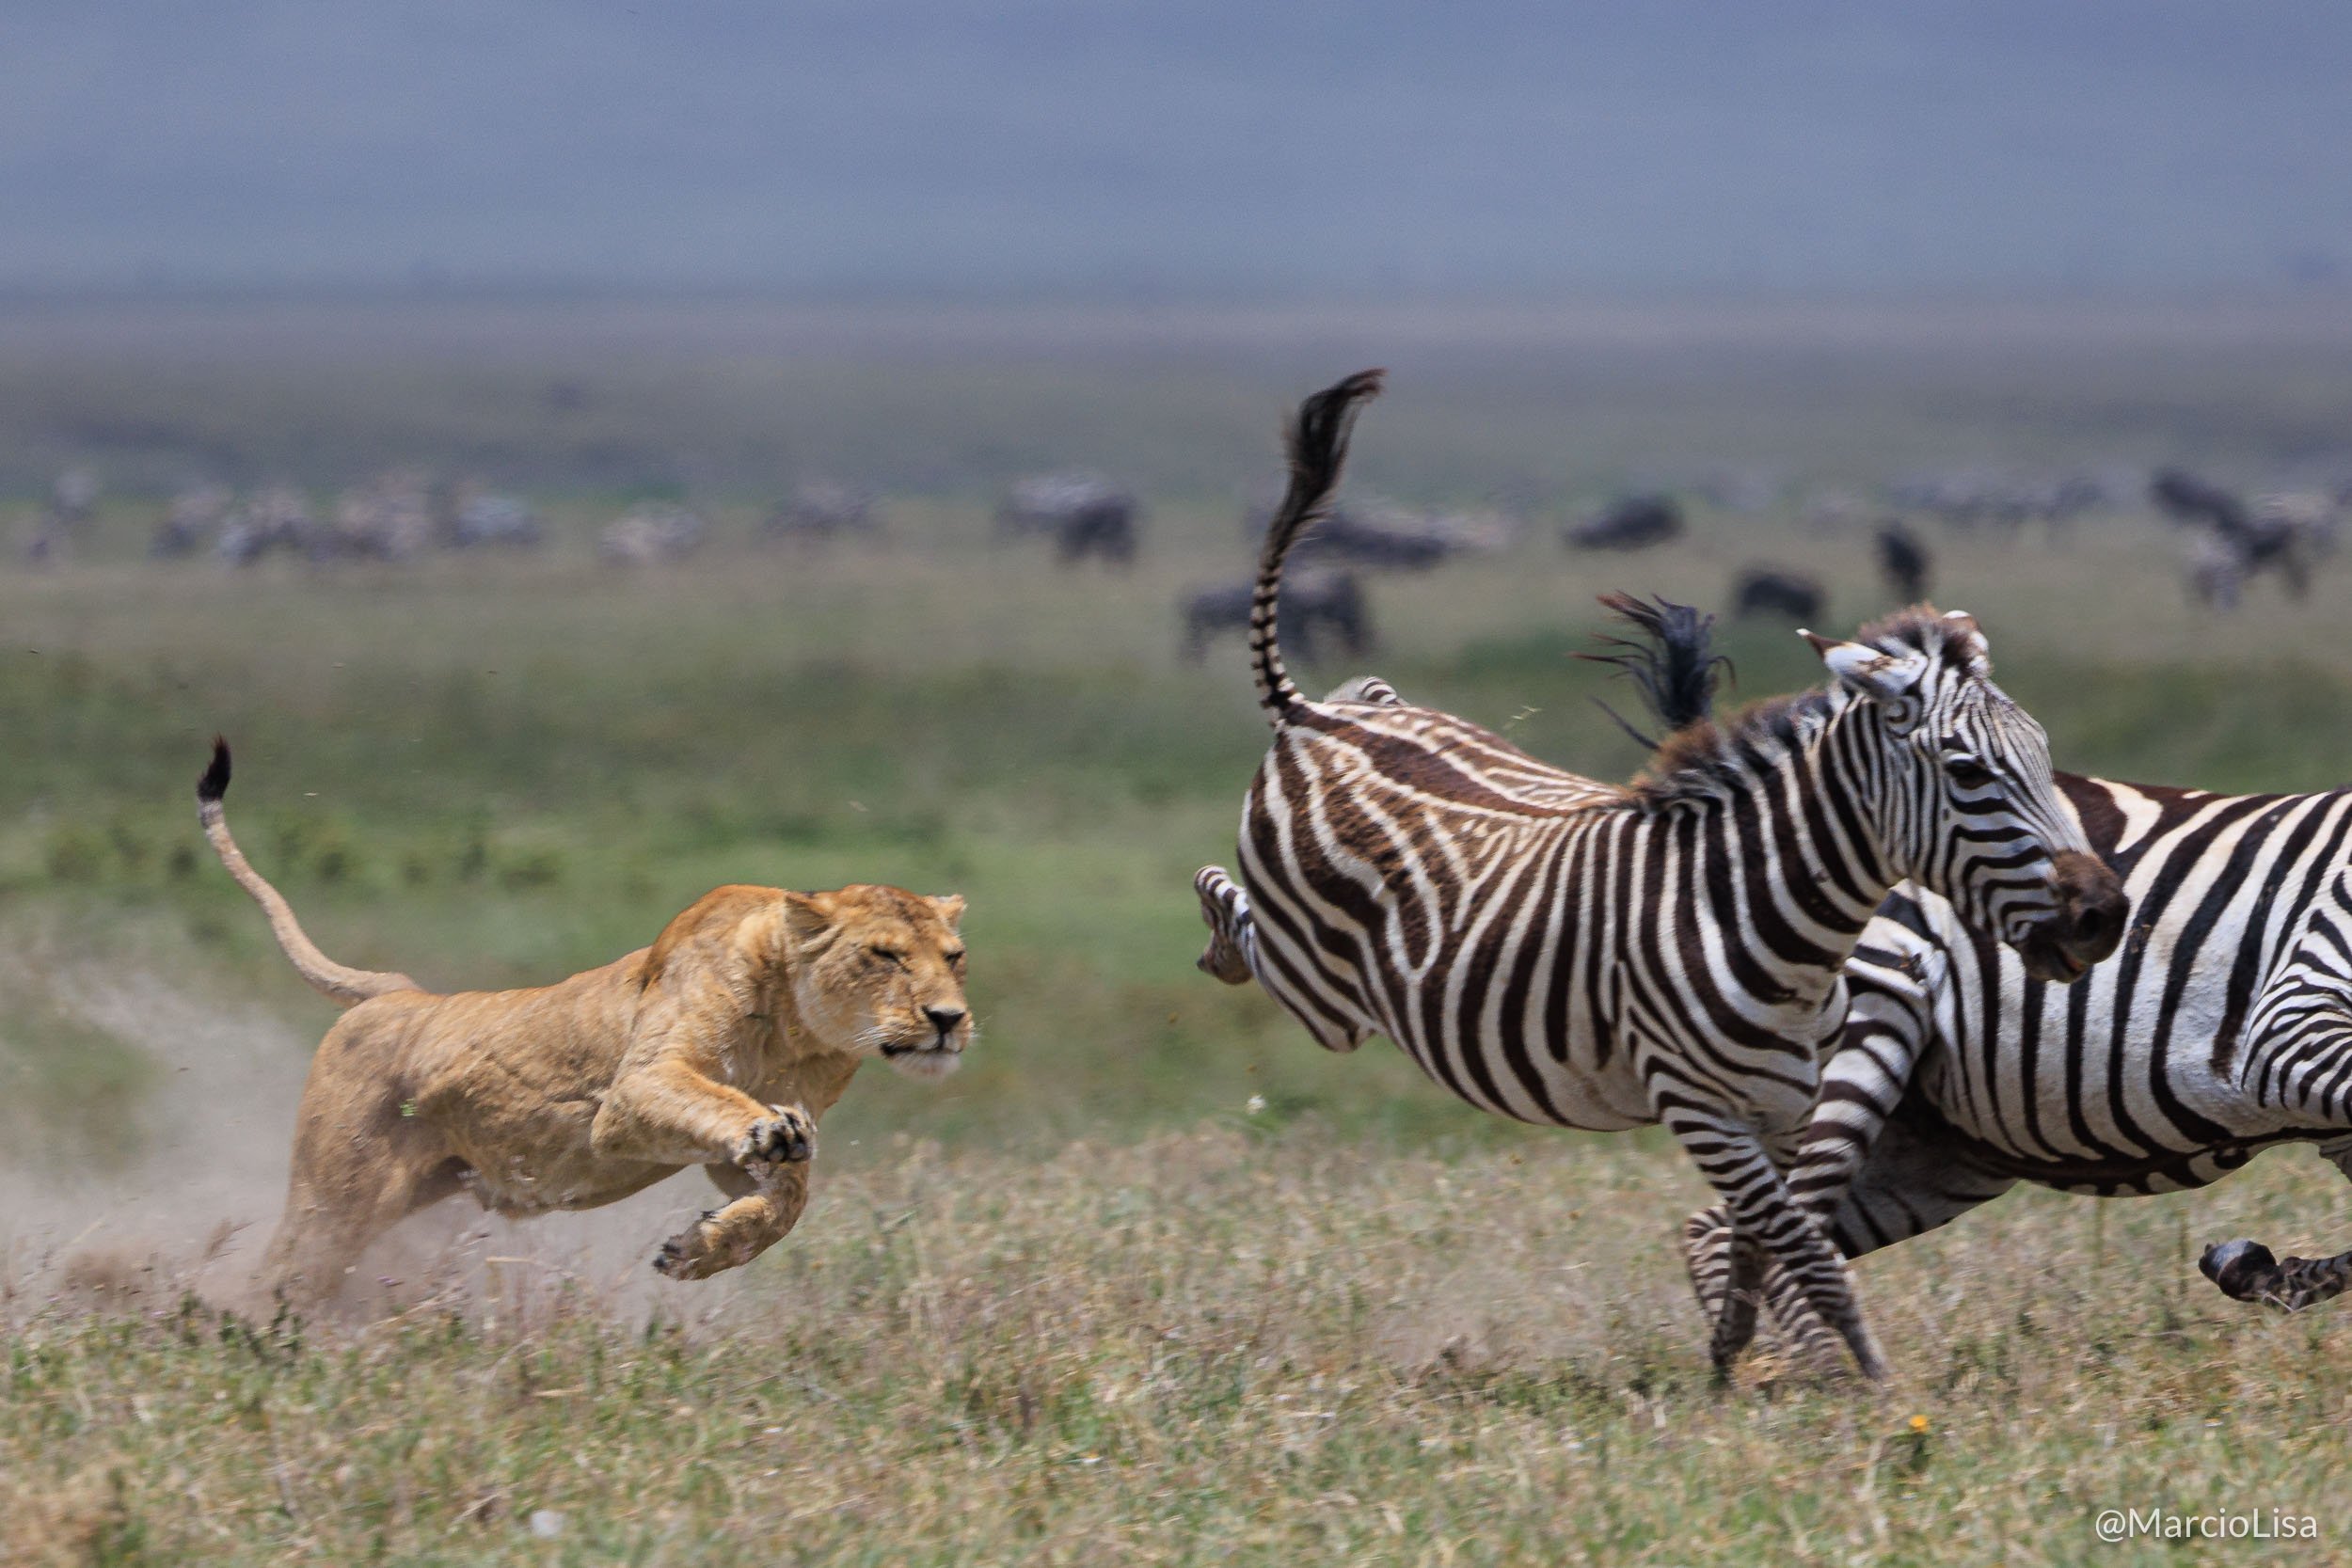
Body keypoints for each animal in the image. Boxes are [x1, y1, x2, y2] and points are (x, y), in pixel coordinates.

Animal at [1195, 373, 2136, 1382]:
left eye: (2041, 752)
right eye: (1967, 772)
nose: (2102, 913)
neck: (1777, 928)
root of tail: (1314, 720)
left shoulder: (1787, 1109)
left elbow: (1768, 1242)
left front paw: (1729, 1364)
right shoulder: (1700, 1109)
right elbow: (1802, 1247)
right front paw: (1861, 1378)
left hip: (1382, 760)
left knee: (1359, 704)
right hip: (1321, 990)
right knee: (1236, 910)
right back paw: (1217, 940)